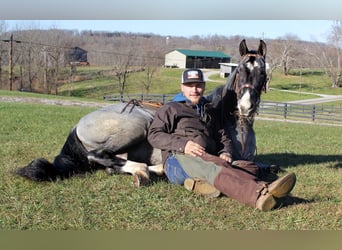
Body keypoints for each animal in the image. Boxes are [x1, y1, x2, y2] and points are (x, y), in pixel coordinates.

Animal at [16, 39, 268, 186]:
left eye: (263, 72)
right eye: (241, 70)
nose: (246, 107)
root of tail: (78, 125)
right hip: (138, 127)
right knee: (97, 155)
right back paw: (142, 170)